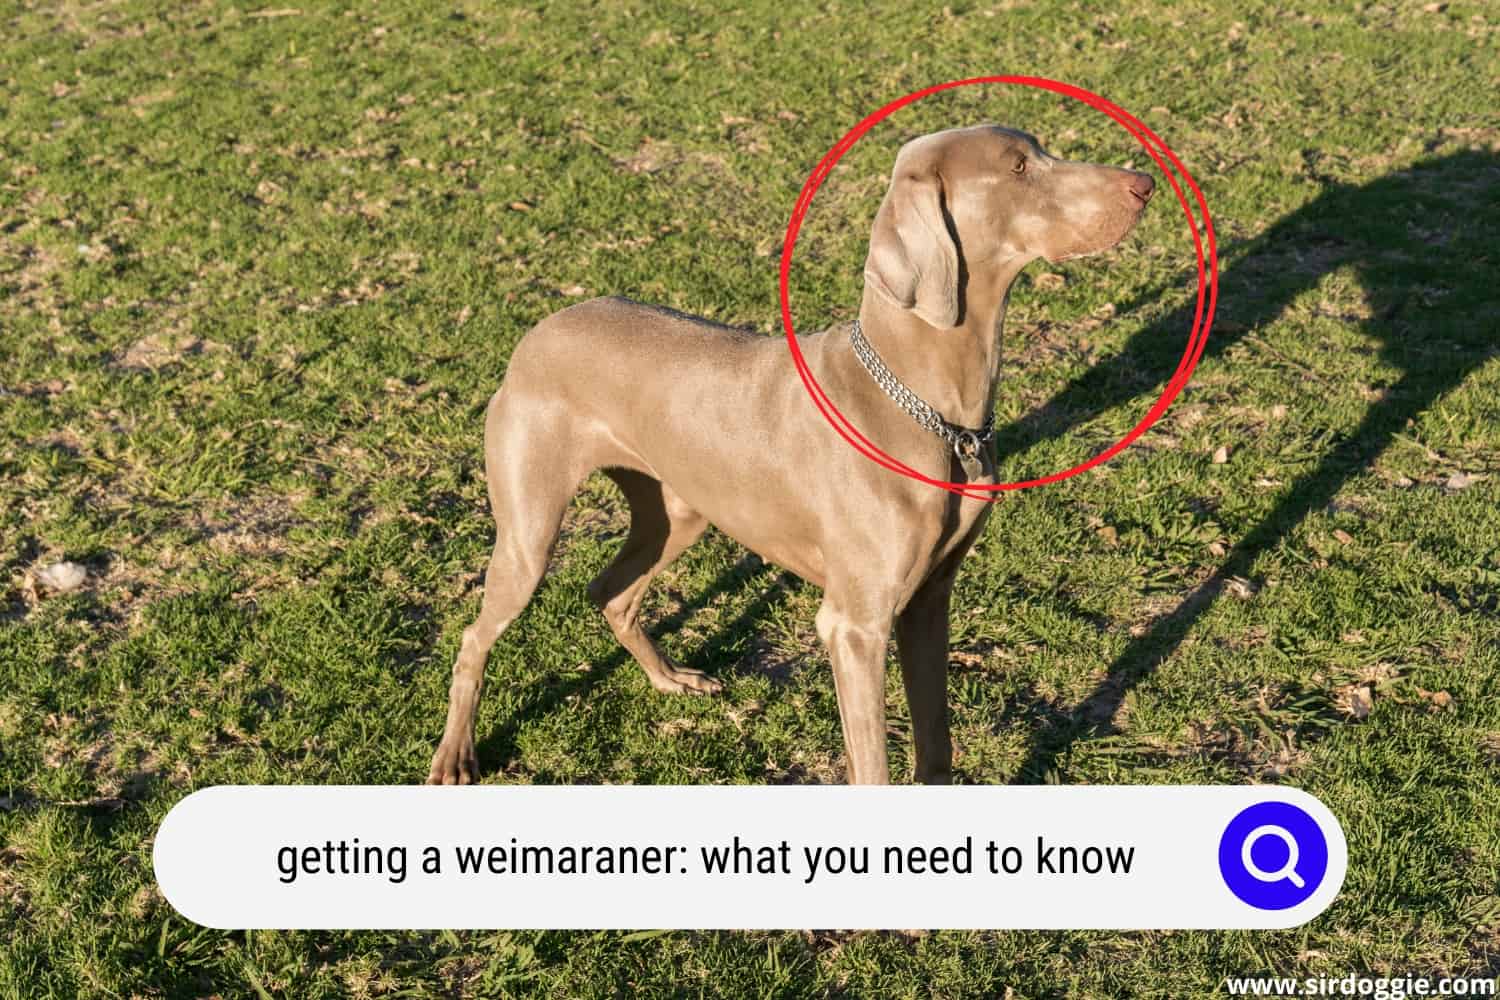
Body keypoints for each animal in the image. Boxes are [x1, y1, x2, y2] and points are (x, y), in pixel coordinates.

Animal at [429, 122, 1152, 779]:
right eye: (1019, 168)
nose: (1144, 182)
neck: (931, 410)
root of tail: (539, 328)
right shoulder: (855, 626)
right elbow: (872, 767)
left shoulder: (928, 600)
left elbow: (936, 745)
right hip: (530, 531)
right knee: (475, 636)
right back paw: (455, 754)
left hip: (678, 510)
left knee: (611, 591)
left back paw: (670, 679)